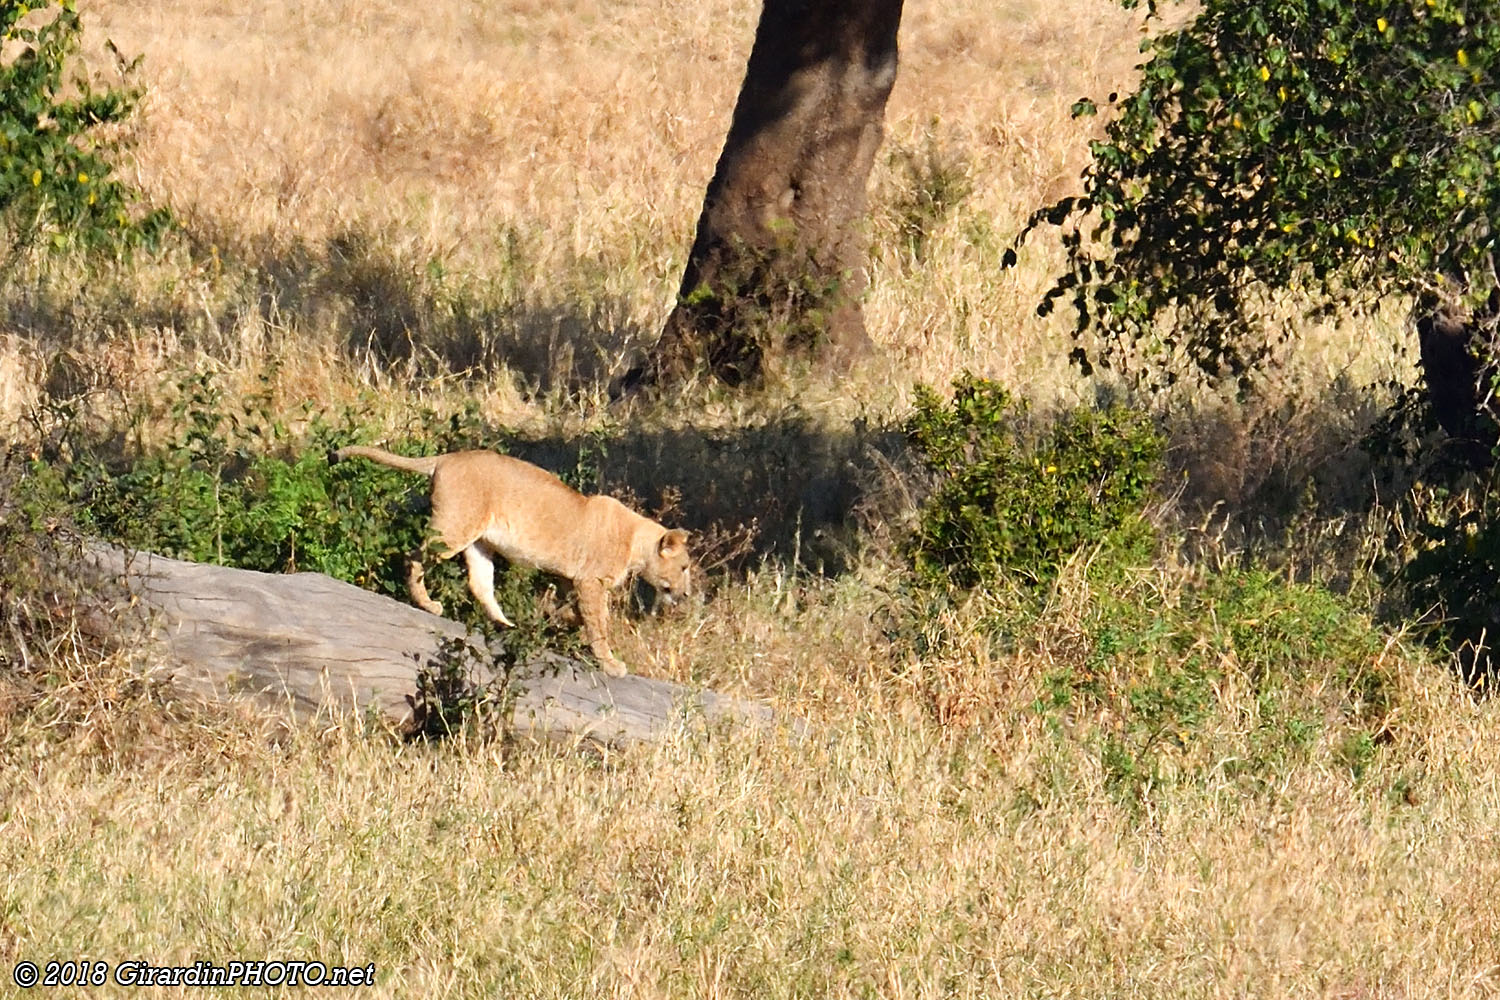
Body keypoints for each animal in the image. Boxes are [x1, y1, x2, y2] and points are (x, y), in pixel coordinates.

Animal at [332, 445, 693, 677]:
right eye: (685, 567)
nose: (687, 594)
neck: (636, 542)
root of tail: (447, 458)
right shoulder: (591, 581)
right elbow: (598, 624)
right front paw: (611, 664)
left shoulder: (571, 579)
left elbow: (576, 614)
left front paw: (555, 621)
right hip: (453, 529)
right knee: (414, 556)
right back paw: (428, 604)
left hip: (480, 543)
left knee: (479, 583)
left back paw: (506, 624)